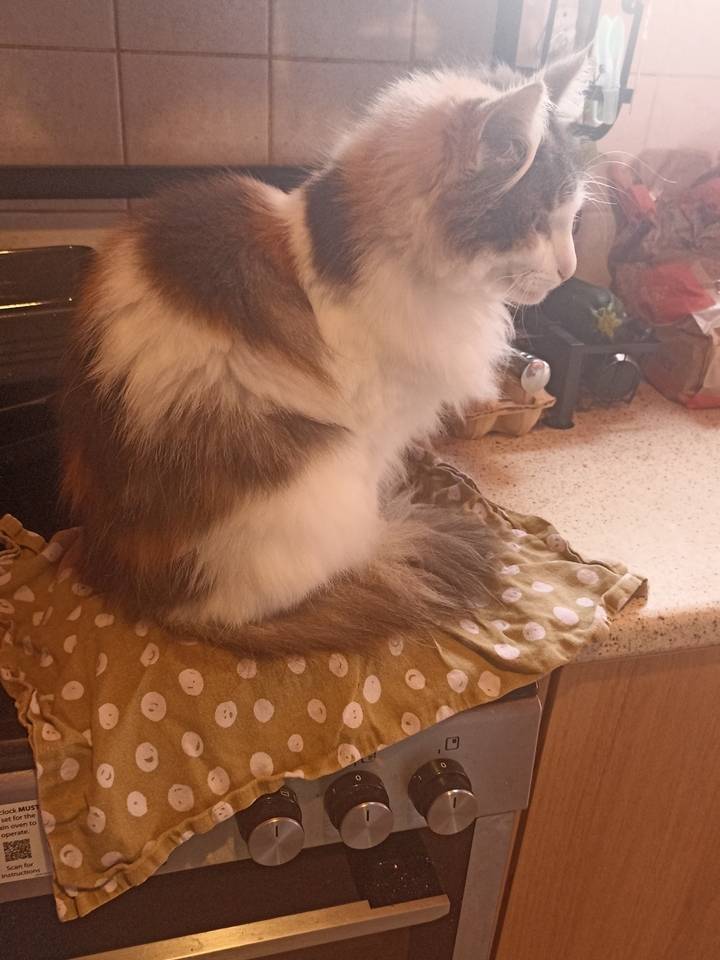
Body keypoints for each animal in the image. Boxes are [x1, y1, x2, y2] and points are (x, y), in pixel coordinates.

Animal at [60, 52, 587, 654]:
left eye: (572, 217)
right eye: (535, 221)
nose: (570, 269)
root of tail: (153, 600)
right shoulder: (379, 430)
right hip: (326, 475)